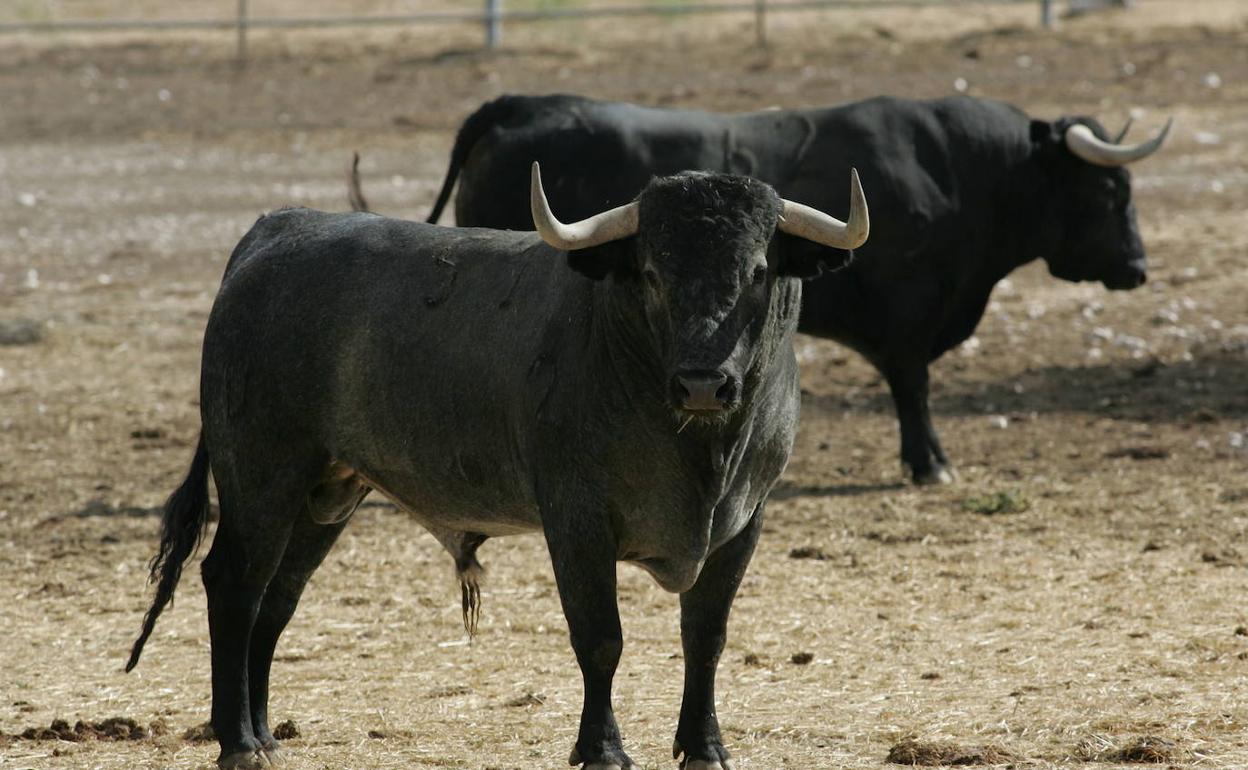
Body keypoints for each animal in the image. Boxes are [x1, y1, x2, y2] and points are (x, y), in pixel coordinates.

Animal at [126, 163, 868, 768]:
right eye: (655, 272)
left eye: (759, 271)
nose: (703, 384)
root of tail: (273, 232)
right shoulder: (576, 521)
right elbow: (600, 639)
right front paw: (602, 749)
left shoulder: (744, 522)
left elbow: (705, 636)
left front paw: (705, 746)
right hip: (261, 477)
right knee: (235, 586)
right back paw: (237, 742)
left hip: (325, 494)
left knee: (276, 600)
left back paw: (264, 734)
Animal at [394, 92, 1163, 484]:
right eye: (1111, 189)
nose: (1138, 268)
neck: (957, 170)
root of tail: (520, 104)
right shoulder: (909, 319)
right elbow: (913, 389)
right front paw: (929, 464)